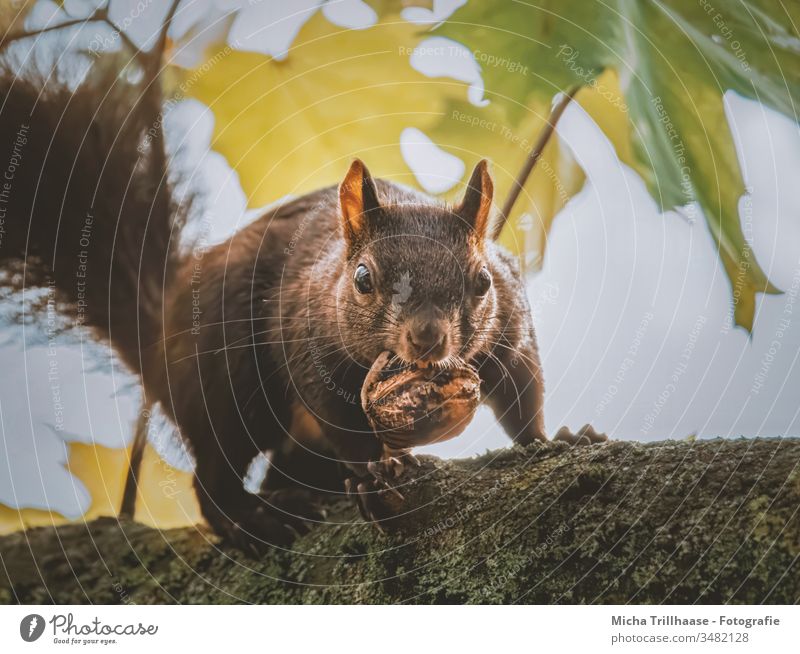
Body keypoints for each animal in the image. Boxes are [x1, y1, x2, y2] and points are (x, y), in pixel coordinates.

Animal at [0, 62, 604, 552]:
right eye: (363, 279)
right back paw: (254, 521)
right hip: (224, 374)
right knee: (212, 473)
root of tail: (158, 348)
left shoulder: (510, 328)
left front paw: (553, 440)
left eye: (481, 282)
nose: (427, 337)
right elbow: (338, 418)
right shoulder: (309, 345)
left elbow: (523, 393)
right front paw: (373, 473)